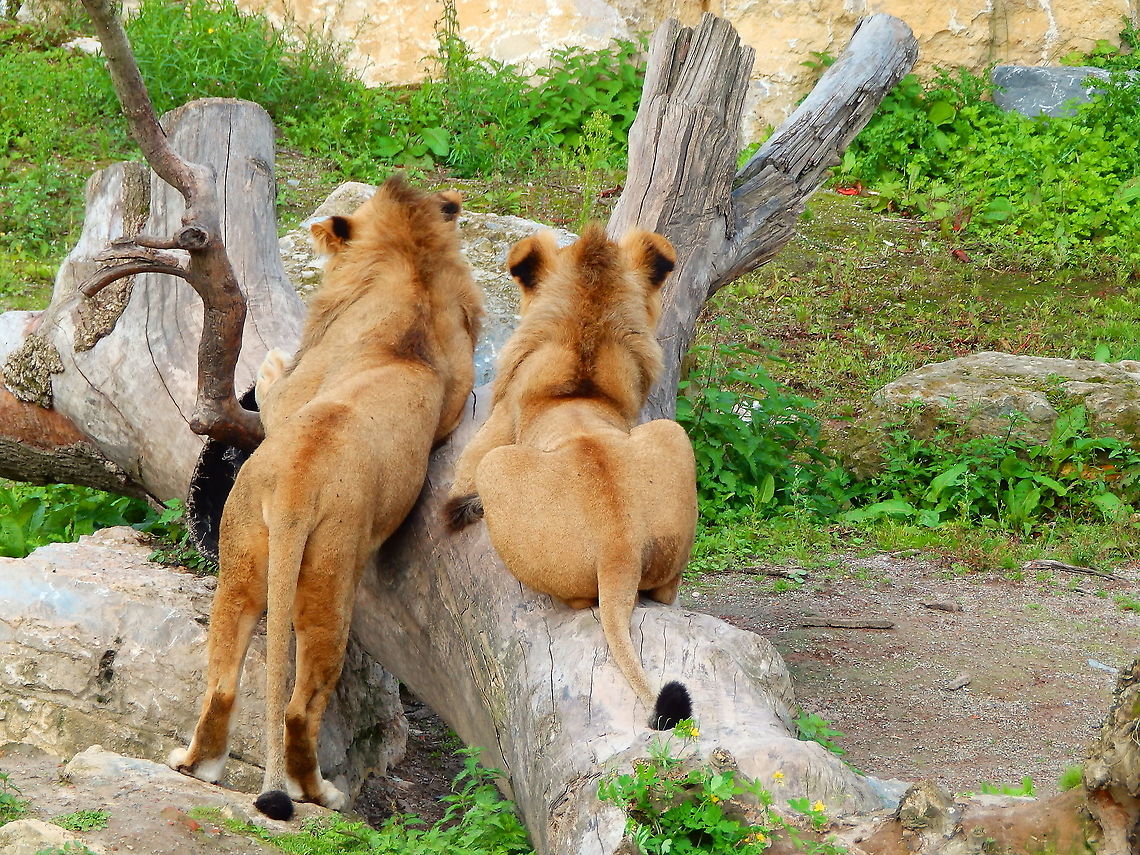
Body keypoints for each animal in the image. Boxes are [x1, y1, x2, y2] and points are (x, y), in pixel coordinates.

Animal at [169, 176, 484, 820]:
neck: (411, 287)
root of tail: (294, 491)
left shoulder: (301, 390)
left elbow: (275, 391)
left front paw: (268, 362)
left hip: (261, 561)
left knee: (243, 688)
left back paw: (219, 770)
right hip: (299, 570)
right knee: (278, 700)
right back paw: (295, 787)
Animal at [445, 223, 697, 730]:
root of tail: (620, 551)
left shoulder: (499, 423)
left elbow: (460, 479)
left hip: (499, 468)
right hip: (673, 433)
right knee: (664, 589)